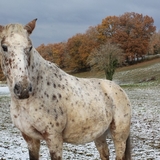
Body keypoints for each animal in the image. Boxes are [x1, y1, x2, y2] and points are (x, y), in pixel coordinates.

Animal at [0, 19, 131, 159]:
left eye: (29, 47)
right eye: (4, 47)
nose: (23, 89)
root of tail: (119, 90)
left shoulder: (54, 138)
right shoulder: (30, 138)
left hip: (119, 135)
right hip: (99, 134)